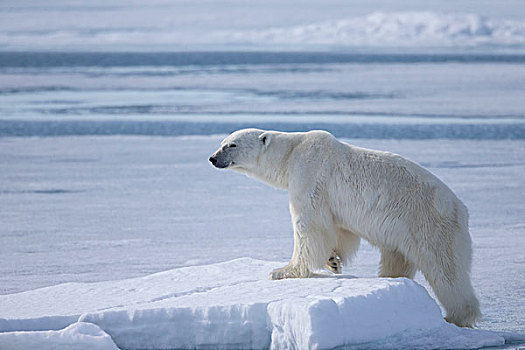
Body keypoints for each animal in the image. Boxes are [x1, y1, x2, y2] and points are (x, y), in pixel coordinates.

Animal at [211, 129, 482, 328]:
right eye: (222, 142)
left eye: (231, 145)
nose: (212, 158)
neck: (291, 153)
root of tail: (461, 209)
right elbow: (338, 229)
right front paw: (332, 261)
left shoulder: (309, 174)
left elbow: (309, 224)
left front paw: (283, 271)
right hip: (405, 229)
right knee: (397, 256)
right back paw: (388, 280)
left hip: (430, 223)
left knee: (445, 270)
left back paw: (456, 316)